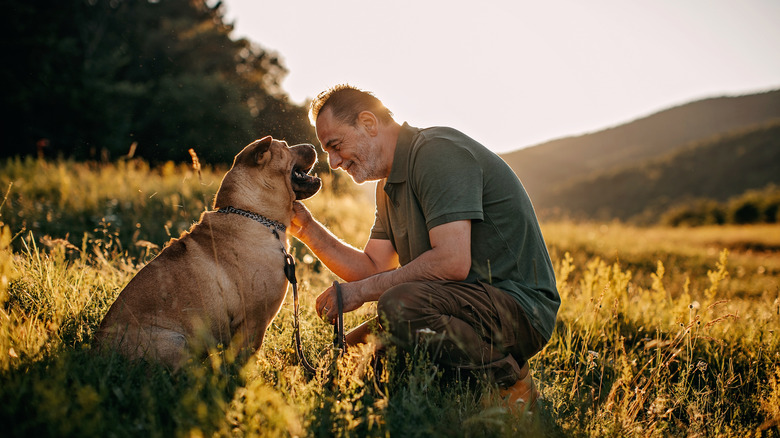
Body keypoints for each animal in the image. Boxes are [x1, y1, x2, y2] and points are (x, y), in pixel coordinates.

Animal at [93, 135, 320, 368]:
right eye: (285, 146)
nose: (313, 145)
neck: (254, 215)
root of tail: (98, 350)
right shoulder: (255, 321)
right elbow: (245, 358)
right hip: (175, 341)